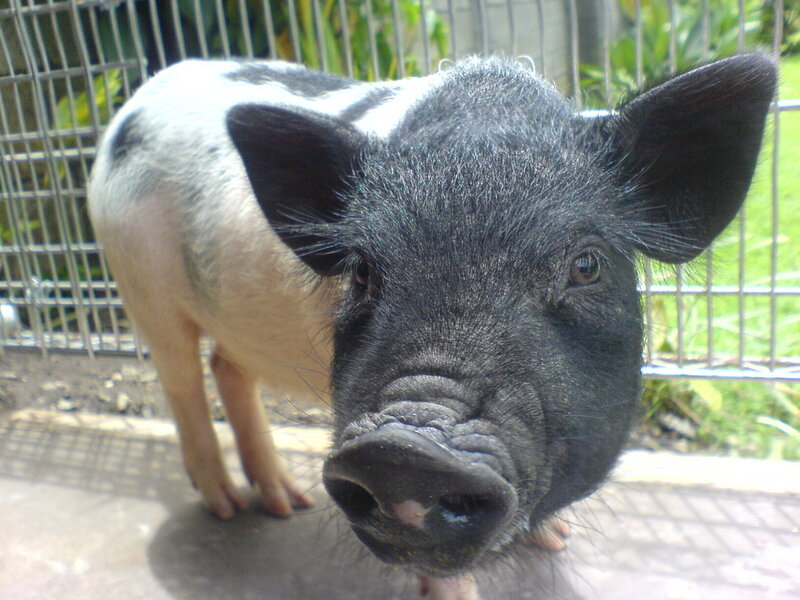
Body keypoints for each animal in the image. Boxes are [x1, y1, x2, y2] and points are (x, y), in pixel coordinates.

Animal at [88, 54, 775, 598]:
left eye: (586, 265)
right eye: (362, 273)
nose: (405, 449)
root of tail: (136, 102)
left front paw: (554, 540)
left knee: (227, 367)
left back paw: (286, 503)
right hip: (136, 277)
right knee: (181, 381)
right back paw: (229, 508)